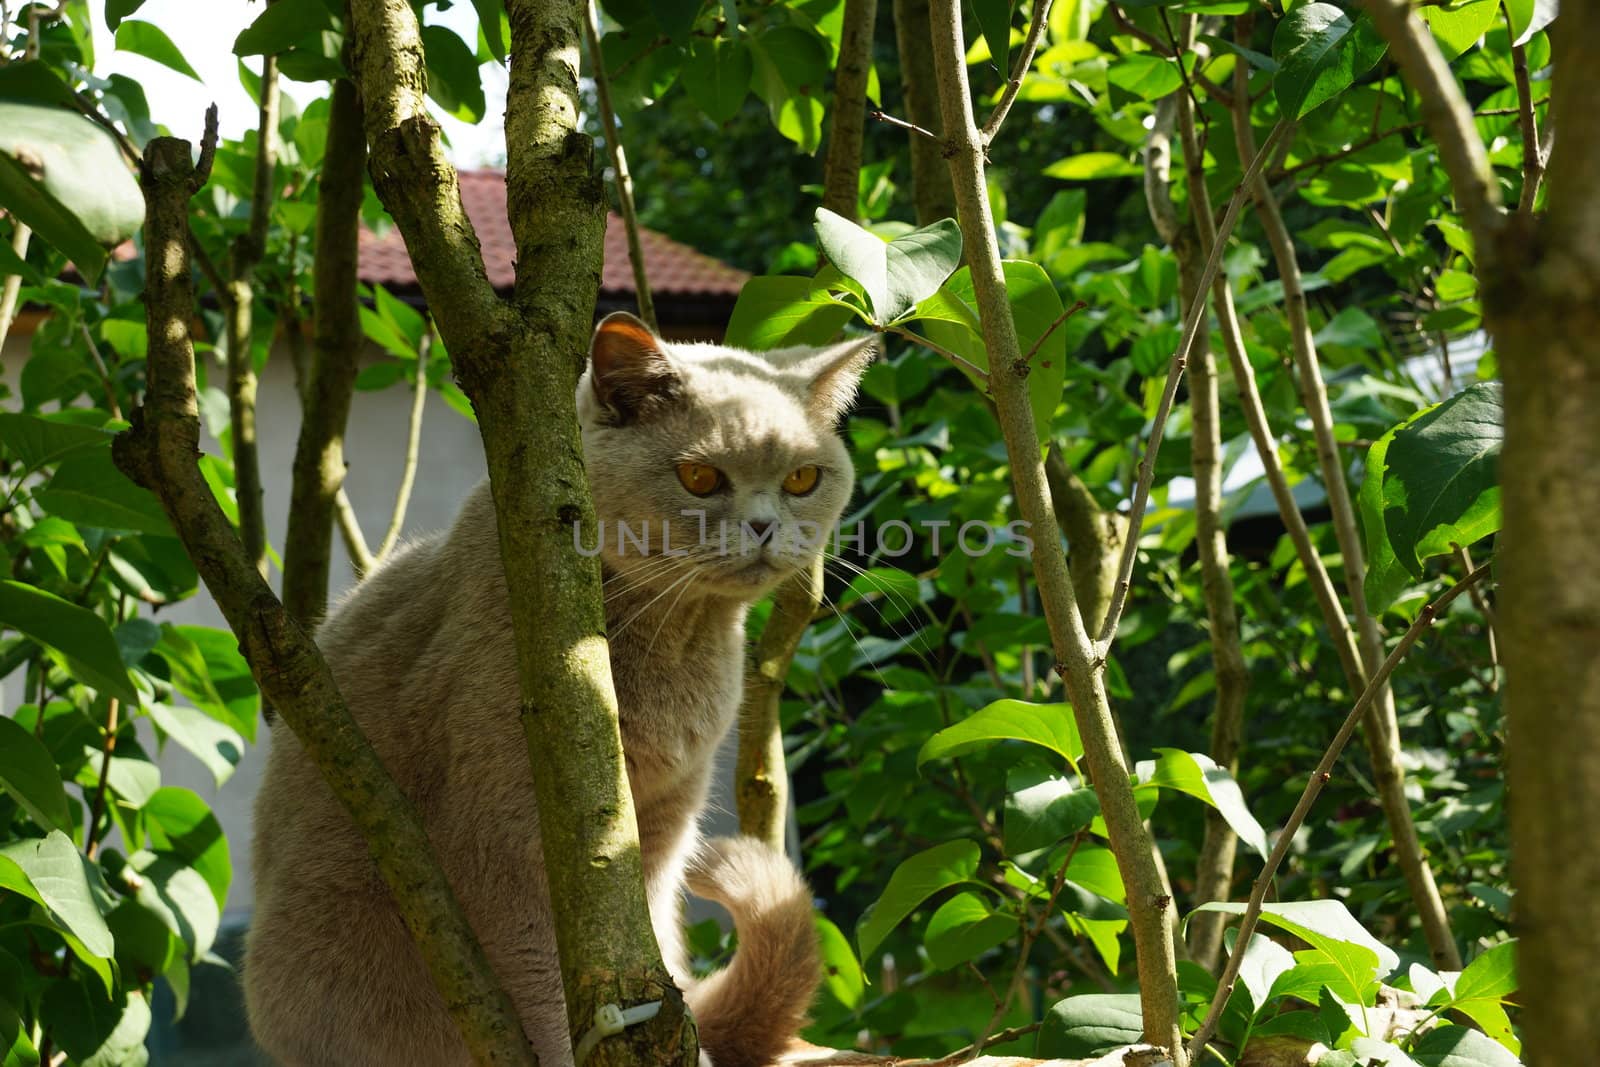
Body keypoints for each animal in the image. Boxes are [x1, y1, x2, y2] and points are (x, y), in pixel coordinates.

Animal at [243, 310, 883, 1067]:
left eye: (803, 478)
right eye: (699, 477)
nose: (764, 526)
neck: (677, 637)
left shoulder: (660, 822)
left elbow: (640, 946)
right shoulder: (504, 833)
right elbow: (545, 972)